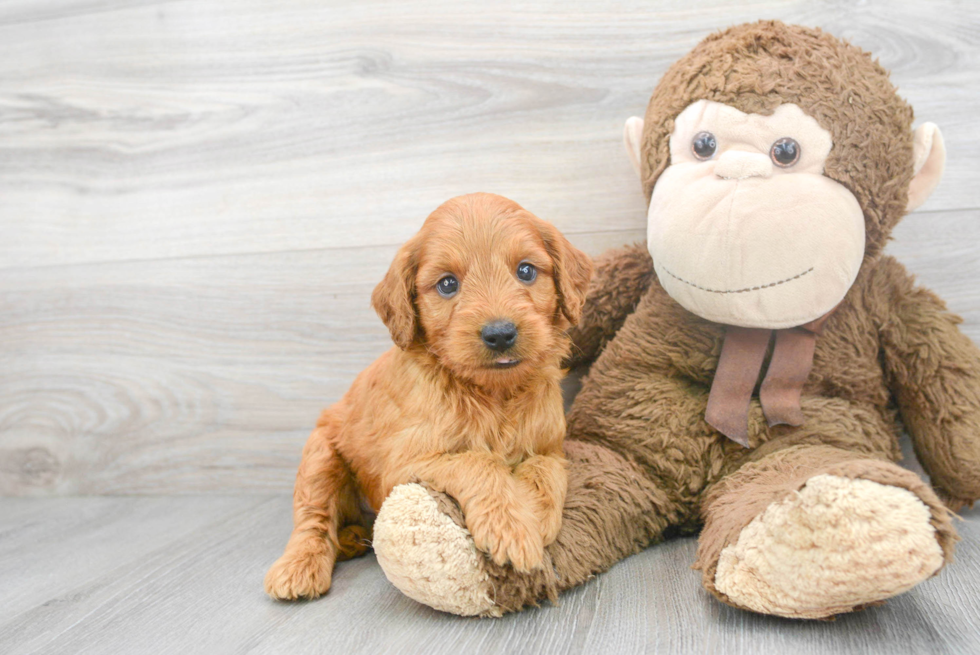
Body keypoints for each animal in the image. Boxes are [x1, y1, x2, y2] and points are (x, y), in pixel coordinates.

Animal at [264, 191, 592, 600]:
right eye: (448, 284)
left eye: (527, 271)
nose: (500, 334)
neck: (493, 394)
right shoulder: (402, 466)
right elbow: (477, 461)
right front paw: (511, 527)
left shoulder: (551, 447)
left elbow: (546, 471)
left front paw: (536, 516)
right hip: (319, 456)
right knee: (313, 518)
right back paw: (300, 567)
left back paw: (352, 538)